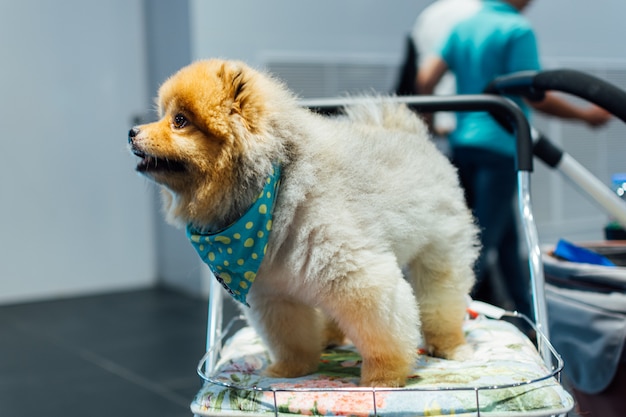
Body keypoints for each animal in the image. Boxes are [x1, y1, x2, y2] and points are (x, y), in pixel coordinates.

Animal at [127, 58, 478, 386]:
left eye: (180, 121)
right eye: (163, 115)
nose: (131, 132)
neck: (272, 189)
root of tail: (408, 131)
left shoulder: (358, 276)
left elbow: (383, 332)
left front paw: (383, 376)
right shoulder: (274, 293)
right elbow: (290, 337)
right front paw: (290, 369)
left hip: (439, 251)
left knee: (441, 301)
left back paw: (450, 345)